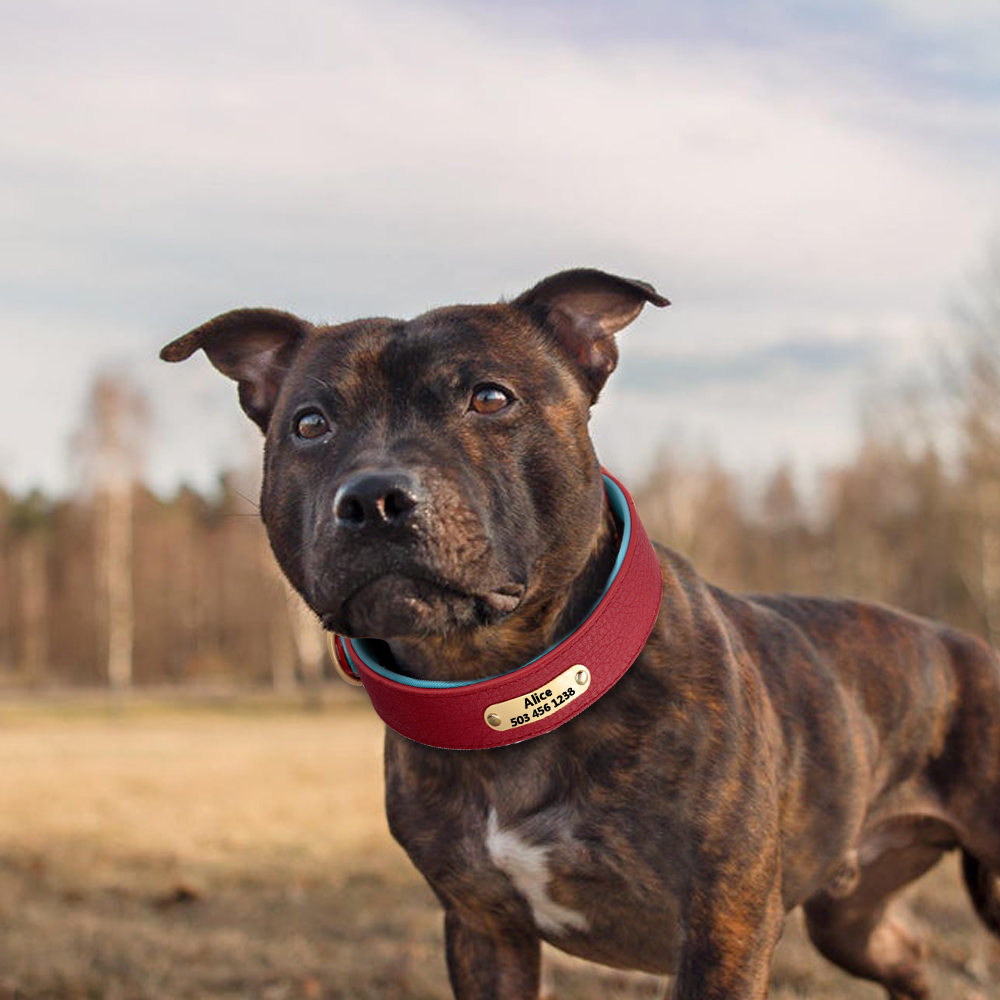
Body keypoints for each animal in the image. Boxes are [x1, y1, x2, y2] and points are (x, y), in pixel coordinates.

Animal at [162, 270, 1000, 996]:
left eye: (490, 398)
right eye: (309, 424)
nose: (373, 498)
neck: (504, 689)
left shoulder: (723, 933)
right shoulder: (483, 930)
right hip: (851, 918)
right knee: (908, 956)